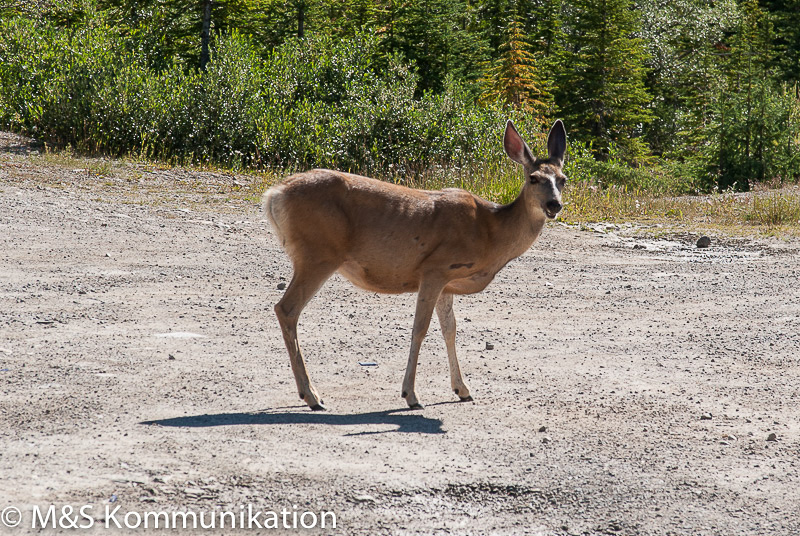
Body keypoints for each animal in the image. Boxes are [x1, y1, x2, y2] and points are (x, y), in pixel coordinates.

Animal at [264, 118, 568, 410]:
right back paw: (312, 396)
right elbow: (420, 328)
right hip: (318, 253)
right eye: (533, 178)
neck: (490, 233)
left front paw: (462, 389)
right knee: (286, 309)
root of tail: (274, 194)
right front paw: (410, 394)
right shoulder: (435, 268)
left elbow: (450, 329)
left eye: (563, 179)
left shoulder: (448, 282)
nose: (554, 205)